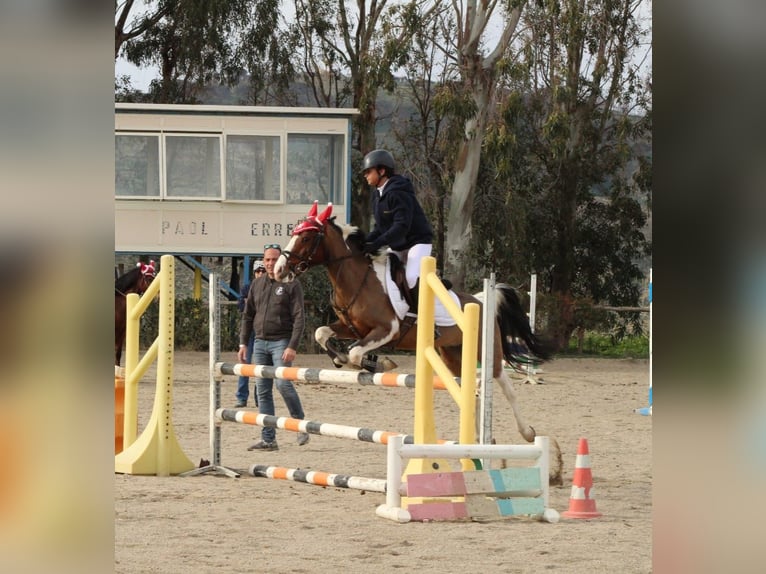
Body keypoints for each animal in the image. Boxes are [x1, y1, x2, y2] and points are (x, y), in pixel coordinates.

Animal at [272, 202, 556, 446]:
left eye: (306, 238)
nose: (278, 269)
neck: (356, 278)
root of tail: (479, 301)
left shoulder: (387, 329)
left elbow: (355, 351)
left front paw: (375, 363)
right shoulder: (351, 327)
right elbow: (322, 333)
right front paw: (341, 359)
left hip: (486, 352)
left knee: (504, 384)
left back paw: (527, 432)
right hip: (452, 355)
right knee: (470, 390)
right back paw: (477, 440)